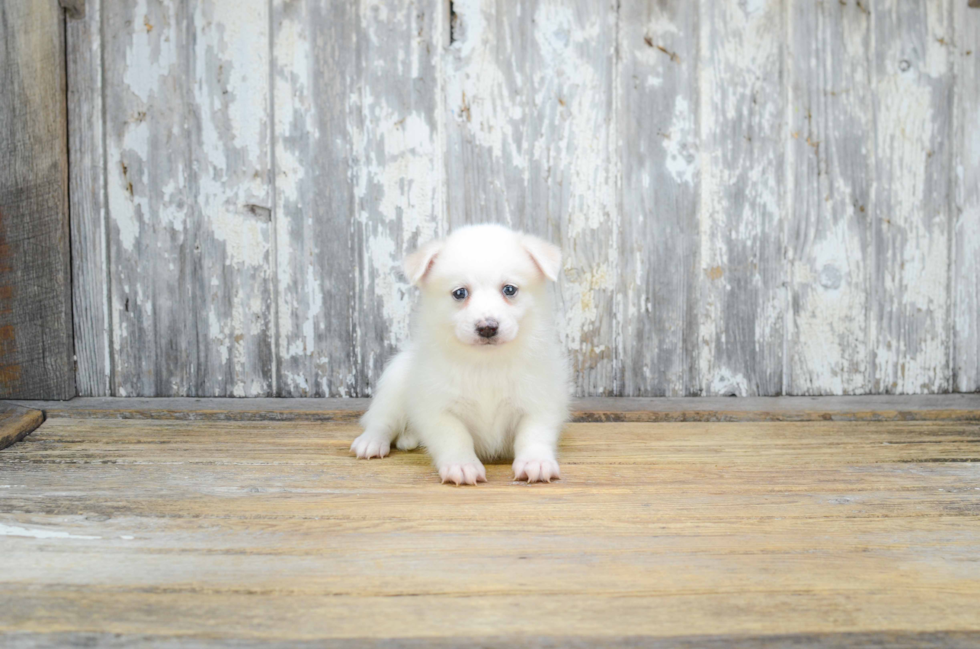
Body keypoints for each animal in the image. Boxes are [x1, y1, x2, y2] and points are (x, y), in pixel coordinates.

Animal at [350, 223, 568, 480]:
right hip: (393, 389)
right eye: (460, 293)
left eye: (509, 289)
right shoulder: (439, 408)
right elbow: (455, 437)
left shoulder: (539, 401)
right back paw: (371, 442)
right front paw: (462, 465)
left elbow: (533, 434)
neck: (486, 364)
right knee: (380, 421)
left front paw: (536, 462)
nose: (487, 327)